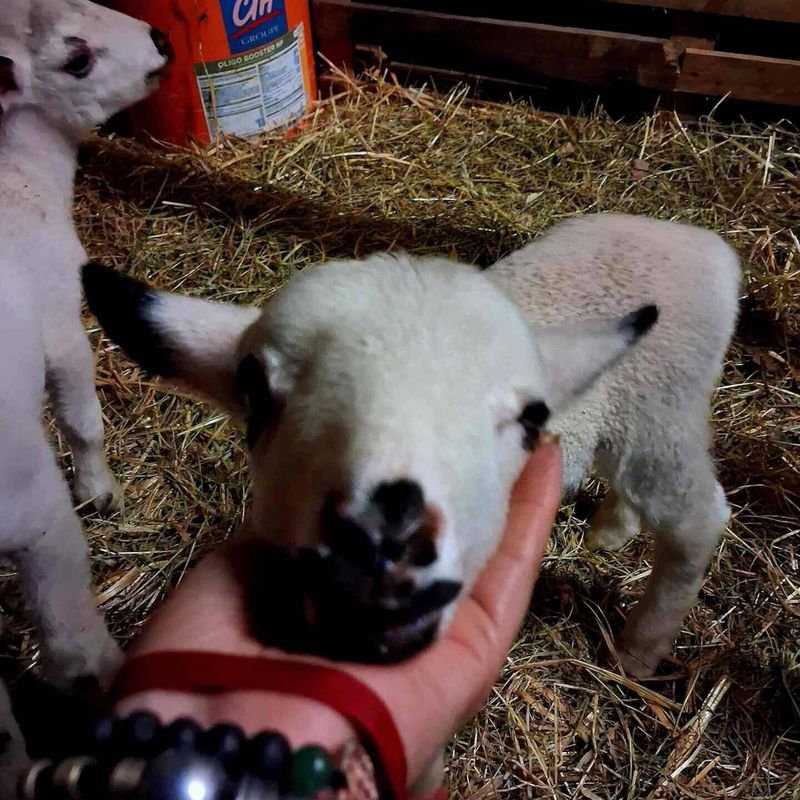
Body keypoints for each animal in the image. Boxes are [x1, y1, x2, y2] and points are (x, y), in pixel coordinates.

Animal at [83, 211, 738, 782]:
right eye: (256, 393)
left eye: (532, 418)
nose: (383, 552)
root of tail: (703, 244)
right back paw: (609, 530)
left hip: (660, 412)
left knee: (698, 518)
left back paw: (638, 650)